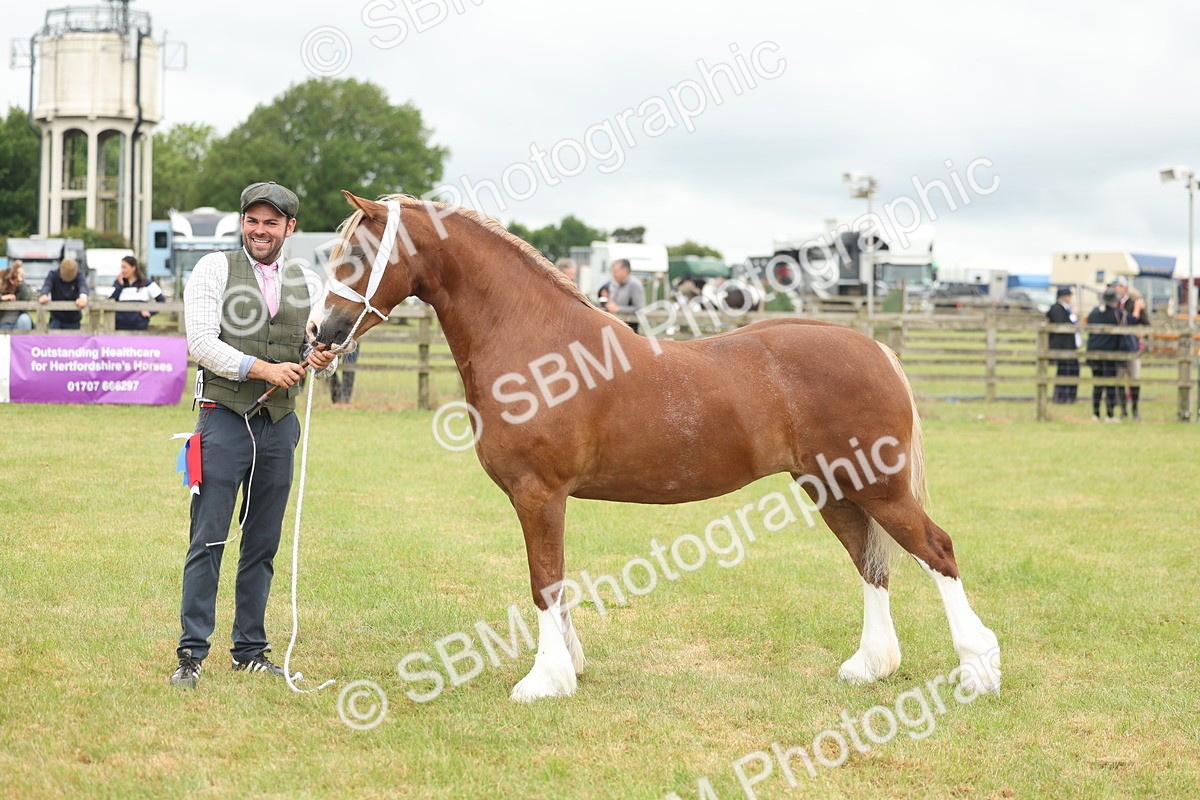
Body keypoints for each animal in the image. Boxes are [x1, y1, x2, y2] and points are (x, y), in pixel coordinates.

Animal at [314, 192, 1001, 702]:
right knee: (871, 564)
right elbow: (558, 580)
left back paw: (977, 668)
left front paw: (545, 680)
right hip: (832, 489)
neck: (535, 342)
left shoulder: (538, 493)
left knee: (936, 550)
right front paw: (571, 666)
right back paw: (870, 666)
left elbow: (543, 582)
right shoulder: (548, 500)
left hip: (877, 485)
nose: (321, 331)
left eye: (357, 255)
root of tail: (875, 348)